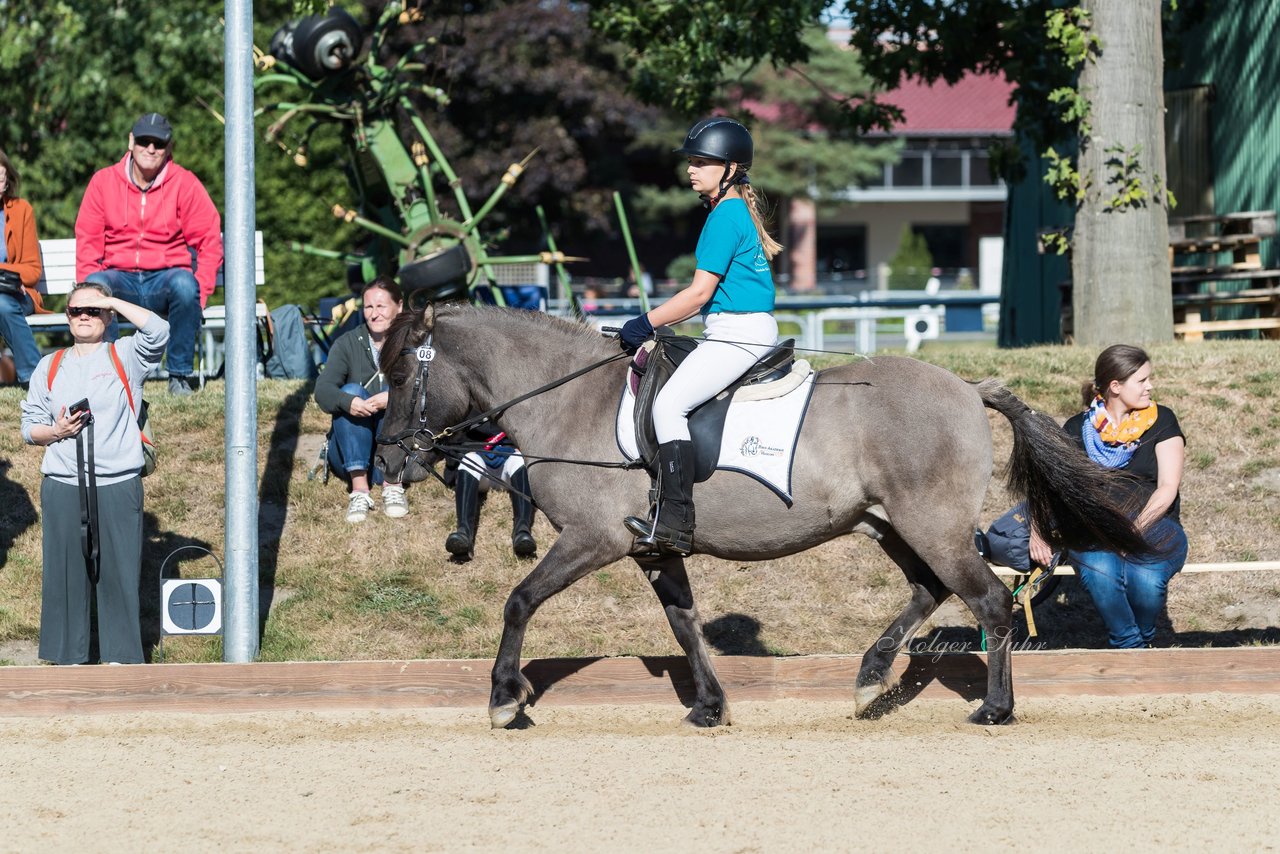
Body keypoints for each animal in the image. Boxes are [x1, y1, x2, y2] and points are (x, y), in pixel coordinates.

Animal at [373, 303, 1146, 727]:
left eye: (404, 374)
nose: (387, 460)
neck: (569, 399)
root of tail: (965, 384)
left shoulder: (593, 539)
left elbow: (519, 600)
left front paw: (505, 699)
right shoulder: (656, 548)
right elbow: (684, 626)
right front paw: (710, 706)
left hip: (929, 523)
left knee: (987, 601)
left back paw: (993, 708)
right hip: (889, 524)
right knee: (928, 590)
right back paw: (870, 680)